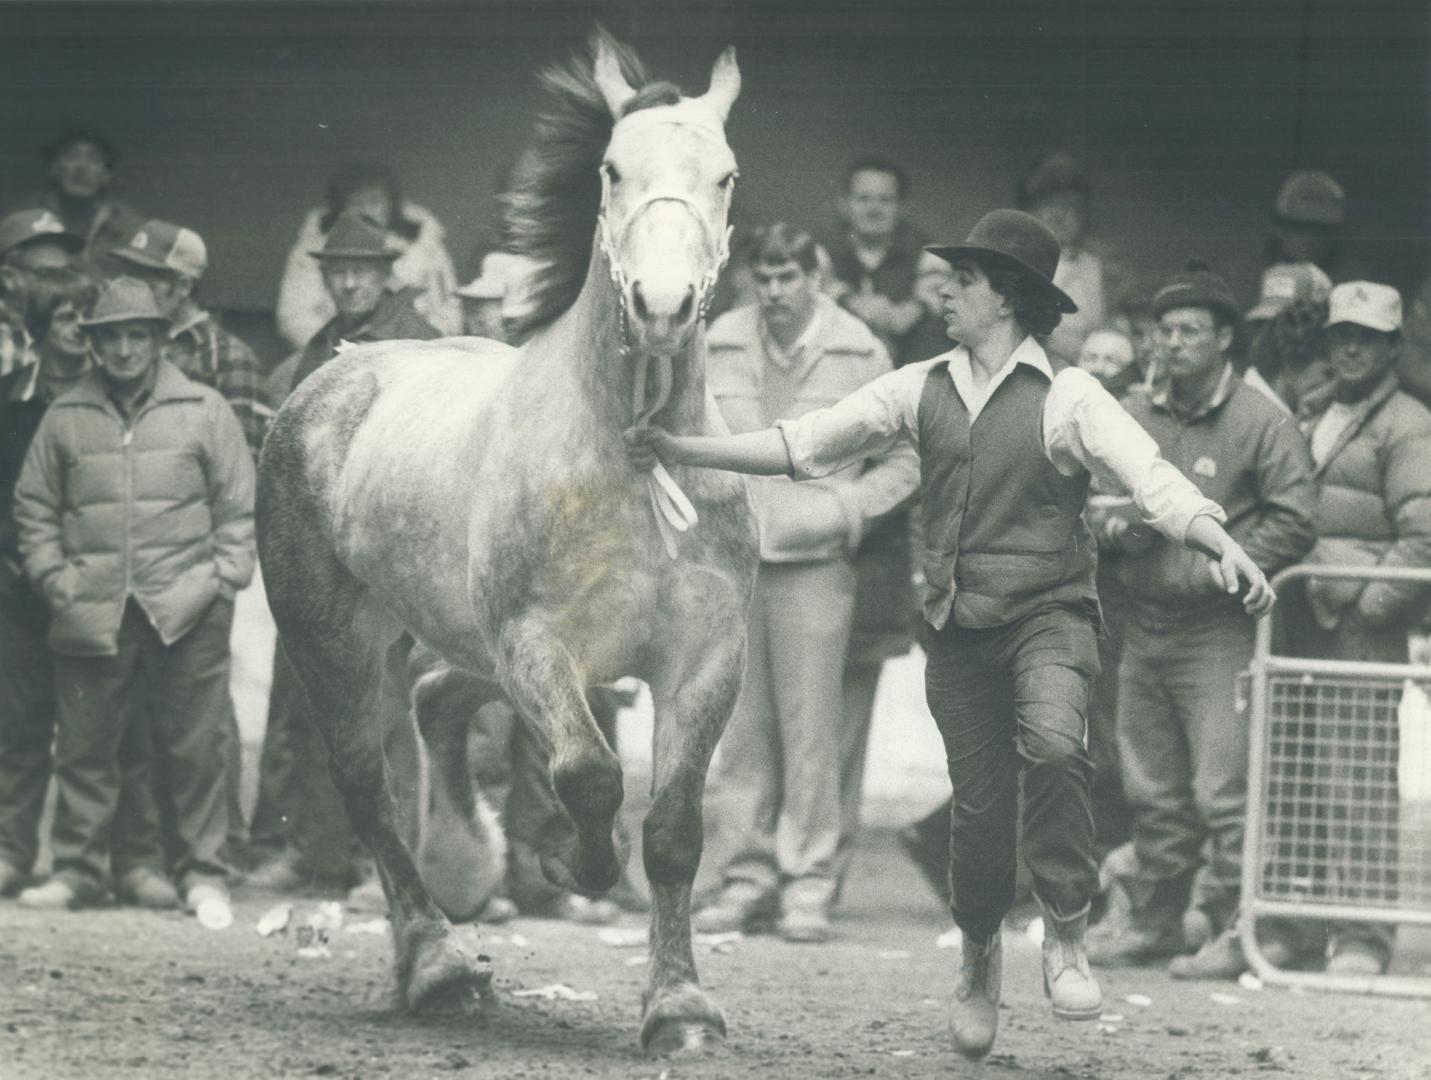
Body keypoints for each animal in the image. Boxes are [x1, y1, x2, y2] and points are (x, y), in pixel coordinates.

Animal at [254, 33, 761, 1058]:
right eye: (612, 170)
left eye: (724, 176)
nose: (660, 303)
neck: (629, 455)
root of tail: (327, 374)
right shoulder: (536, 644)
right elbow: (591, 777)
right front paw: (573, 862)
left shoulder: (704, 657)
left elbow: (673, 829)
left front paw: (679, 1007)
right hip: (332, 635)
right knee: (367, 781)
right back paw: (437, 961)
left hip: (449, 635)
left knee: (437, 698)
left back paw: (465, 864)